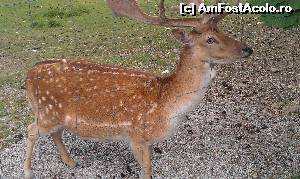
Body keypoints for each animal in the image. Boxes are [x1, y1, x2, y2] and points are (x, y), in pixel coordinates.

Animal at [24, 0, 252, 178]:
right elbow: (147, 170)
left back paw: (71, 162)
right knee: (31, 129)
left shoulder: (148, 141)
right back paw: (28, 172)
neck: (166, 106)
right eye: (210, 39)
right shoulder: (136, 136)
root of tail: (29, 73)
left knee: (55, 133)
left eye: (223, 31)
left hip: (55, 115)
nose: (247, 49)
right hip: (47, 112)